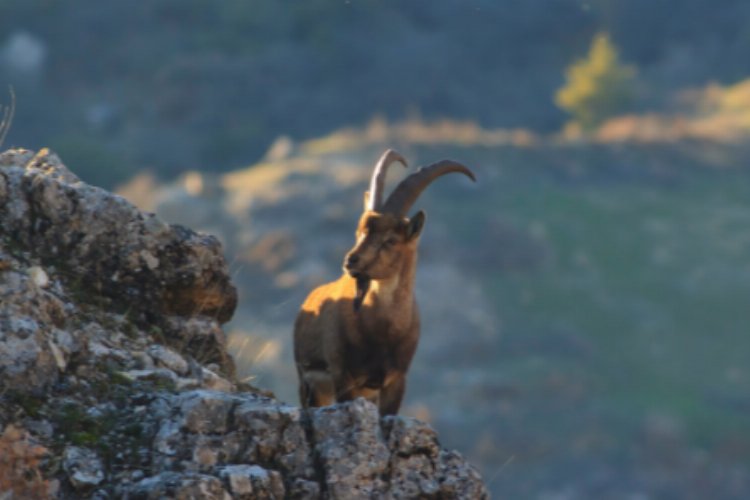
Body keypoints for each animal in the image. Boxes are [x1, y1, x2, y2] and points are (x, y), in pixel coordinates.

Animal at [294, 150, 476, 416]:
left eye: (390, 240)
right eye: (359, 232)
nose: (350, 261)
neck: (383, 329)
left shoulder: (396, 380)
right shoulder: (343, 376)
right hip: (307, 384)